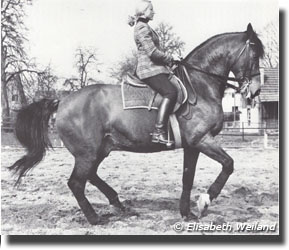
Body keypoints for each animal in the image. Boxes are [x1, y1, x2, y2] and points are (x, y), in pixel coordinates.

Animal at [10, 24, 262, 226]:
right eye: (254, 54)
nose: (256, 91)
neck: (199, 86)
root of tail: (61, 101)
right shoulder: (201, 140)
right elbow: (228, 164)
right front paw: (205, 201)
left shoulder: (192, 145)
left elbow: (187, 177)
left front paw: (186, 212)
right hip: (87, 153)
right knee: (76, 183)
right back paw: (95, 218)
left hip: (100, 149)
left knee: (90, 176)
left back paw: (118, 203)